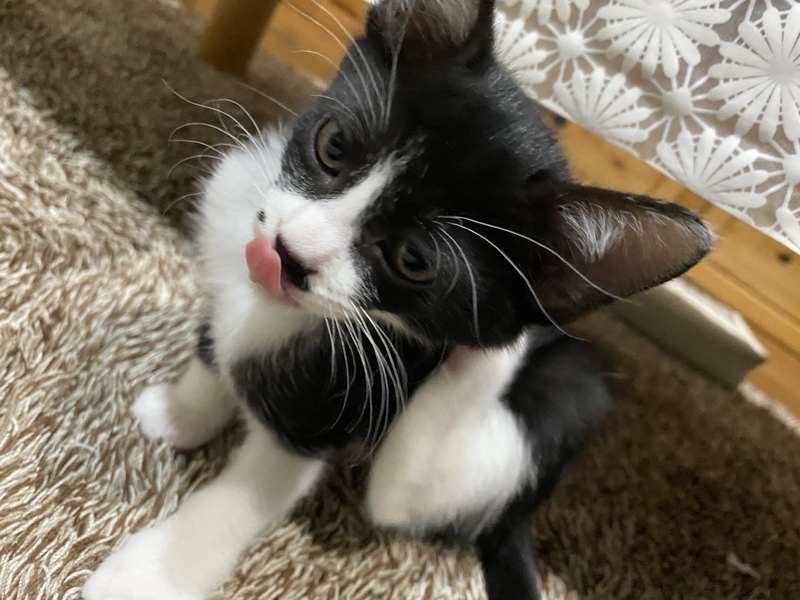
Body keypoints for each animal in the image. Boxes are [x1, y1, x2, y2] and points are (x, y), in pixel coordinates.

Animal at [83, 0, 713, 598]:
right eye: (333, 145)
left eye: (413, 260)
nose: (285, 253)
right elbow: (215, 349)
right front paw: (182, 410)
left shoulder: (330, 408)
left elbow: (247, 494)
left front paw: (150, 574)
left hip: (560, 394)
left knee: (399, 493)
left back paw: (483, 362)